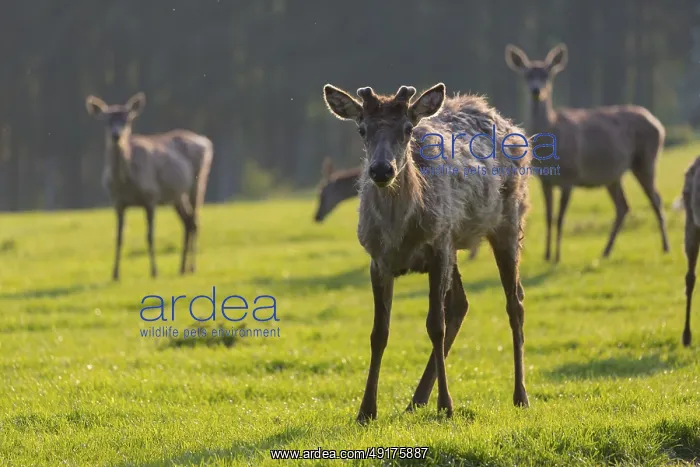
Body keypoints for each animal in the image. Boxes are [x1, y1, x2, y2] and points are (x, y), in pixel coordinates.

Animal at [85, 92, 213, 281]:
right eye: (107, 120)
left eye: (128, 119)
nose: (116, 135)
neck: (125, 182)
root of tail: (206, 142)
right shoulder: (117, 202)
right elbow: (119, 237)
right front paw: (115, 275)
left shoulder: (151, 196)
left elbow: (150, 236)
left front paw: (154, 272)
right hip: (176, 195)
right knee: (188, 221)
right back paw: (181, 268)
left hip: (199, 181)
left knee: (195, 220)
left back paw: (191, 267)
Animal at [505, 43, 670, 263]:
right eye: (527, 74)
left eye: (548, 74)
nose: (536, 90)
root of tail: (658, 124)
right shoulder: (545, 180)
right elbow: (548, 217)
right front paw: (546, 255)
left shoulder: (569, 176)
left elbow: (560, 218)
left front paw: (557, 257)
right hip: (613, 175)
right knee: (623, 206)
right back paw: (606, 251)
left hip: (646, 159)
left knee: (655, 199)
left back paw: (665, 247)